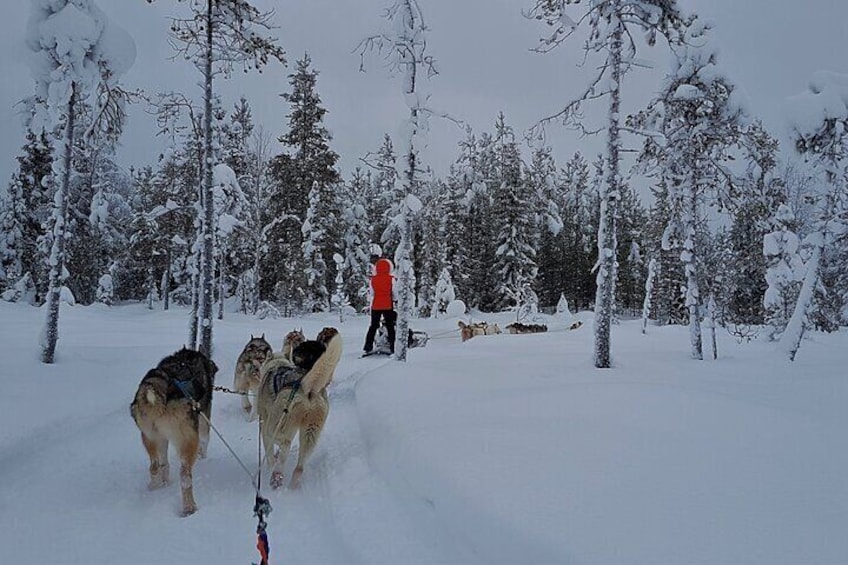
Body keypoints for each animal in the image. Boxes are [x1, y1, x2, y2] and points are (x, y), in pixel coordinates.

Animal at [131, 346, 219, 512]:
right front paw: (203, 457)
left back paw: (156, 485)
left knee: (155, 466)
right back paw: (189, 507)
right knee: (185, 476)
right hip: (189, 440)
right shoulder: (203, 419)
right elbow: (205, 440)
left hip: (150, 437)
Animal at [256, 332, 342, 486]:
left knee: (284, 443)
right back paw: (290, 483)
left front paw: (271, 461)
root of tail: (307, 388)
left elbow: (270, 452)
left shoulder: (264, 424)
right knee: (299, 467)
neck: (277, 364)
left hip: (274, 424)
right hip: (310, 432)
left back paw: (276, 475)